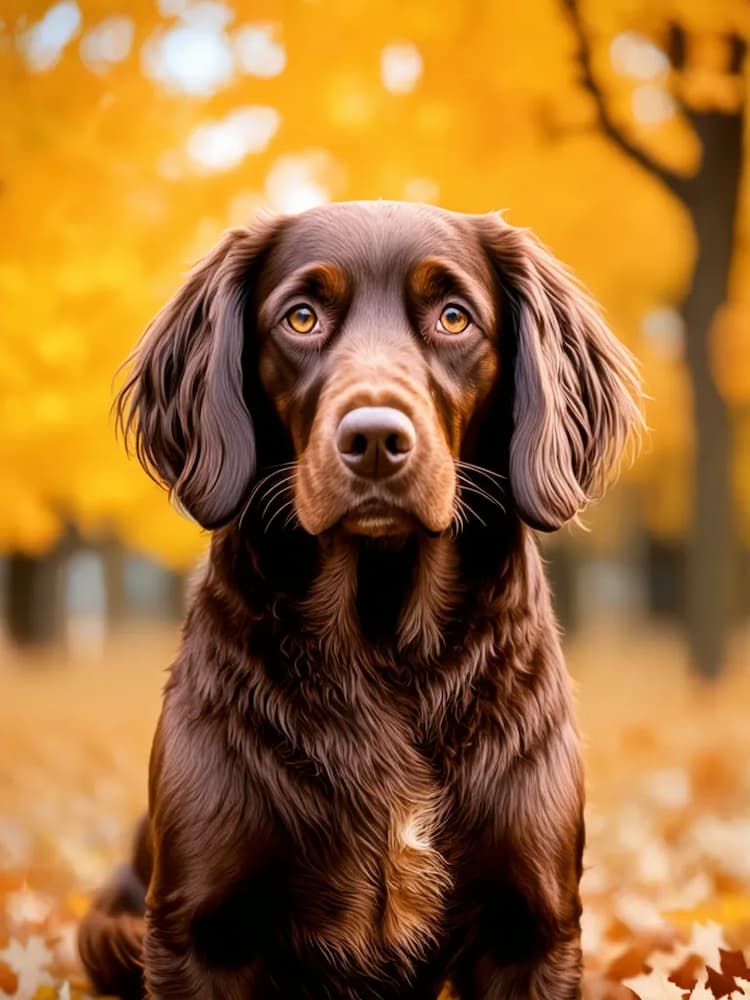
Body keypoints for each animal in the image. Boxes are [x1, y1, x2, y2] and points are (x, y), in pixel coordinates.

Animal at [79, 199, 644, 996]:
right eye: (302, 317)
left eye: (453, 317)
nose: (375, 438)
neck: (380, 640)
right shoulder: (199, 928)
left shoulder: (532, 928)